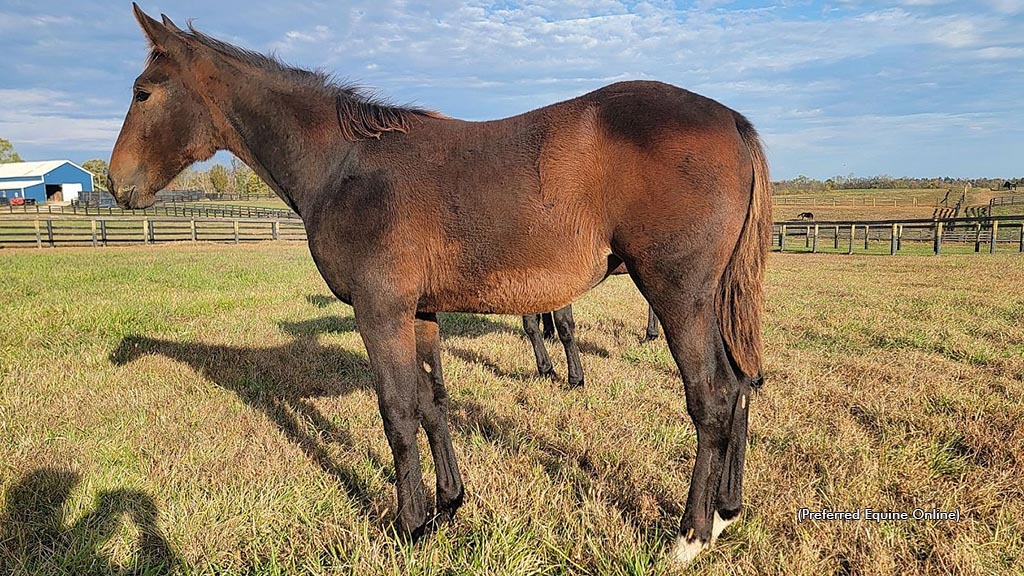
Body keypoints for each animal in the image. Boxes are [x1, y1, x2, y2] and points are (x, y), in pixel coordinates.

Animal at [110, 5, 770, 565]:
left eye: (143, 93)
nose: (117, 184)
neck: (345, 166)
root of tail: (732, 121)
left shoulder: (379, 311)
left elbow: (398, 413)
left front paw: (409, 525)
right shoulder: (420, 312)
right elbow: (434, 403)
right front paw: (449, 506)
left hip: (676, 292)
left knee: (712, 397)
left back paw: (690, 534)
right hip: (707, 298)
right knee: (740, 386)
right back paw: (727, 512)